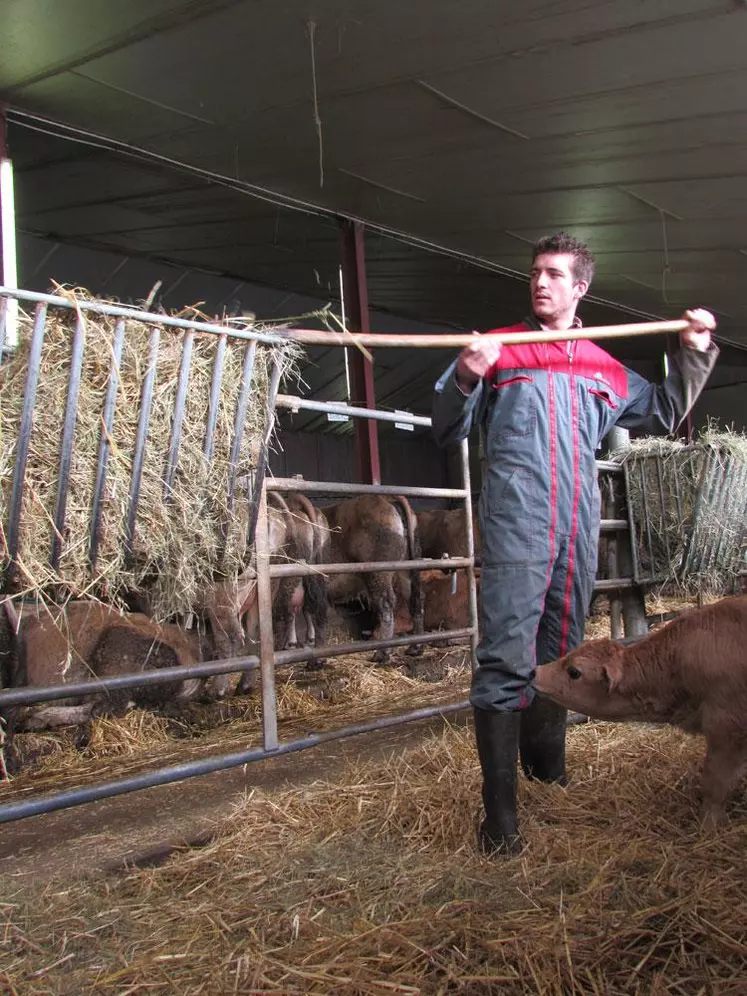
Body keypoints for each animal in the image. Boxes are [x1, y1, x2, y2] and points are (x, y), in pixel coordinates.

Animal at [324, 492, 424, 660]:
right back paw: (415, 648)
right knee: (415, 597)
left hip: (377, 571)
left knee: (386, 603)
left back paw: (381, 654)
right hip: (406, 567)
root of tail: (385, 498)